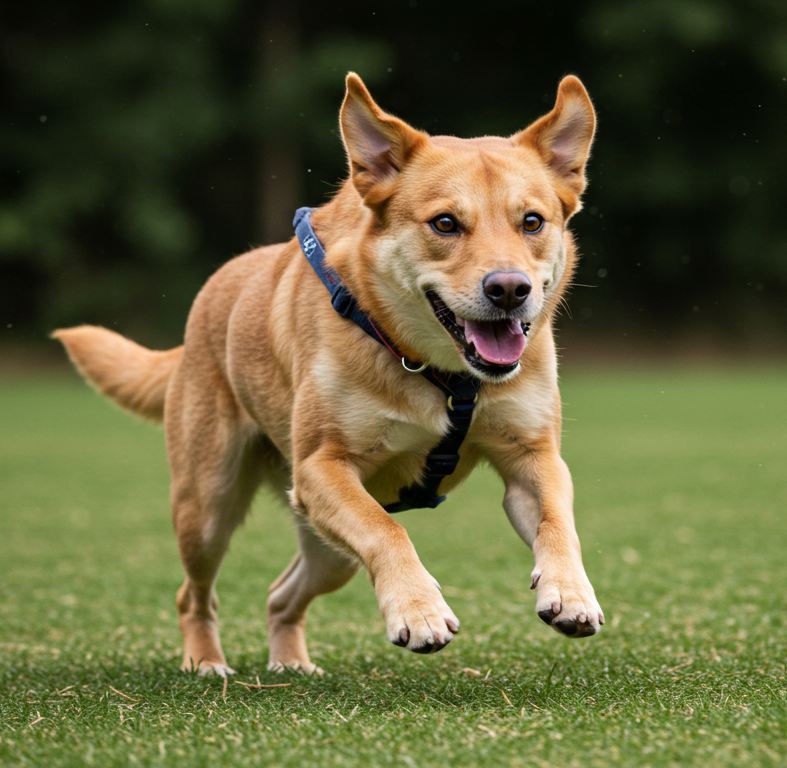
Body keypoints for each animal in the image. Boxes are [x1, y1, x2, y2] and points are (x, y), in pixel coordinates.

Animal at [57, 70, 604, 672]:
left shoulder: (534, 455)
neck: (437, 373)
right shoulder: (322, 467)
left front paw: (571, 593)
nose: (509, 289)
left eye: (532, 221)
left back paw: (290, 663)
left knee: (280, 594)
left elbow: (558, 523)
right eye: (445, 223)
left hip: (325, 546)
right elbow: (388, 531)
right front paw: (419, 611)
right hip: (209, 506)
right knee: (193, 593)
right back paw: (206, 661)